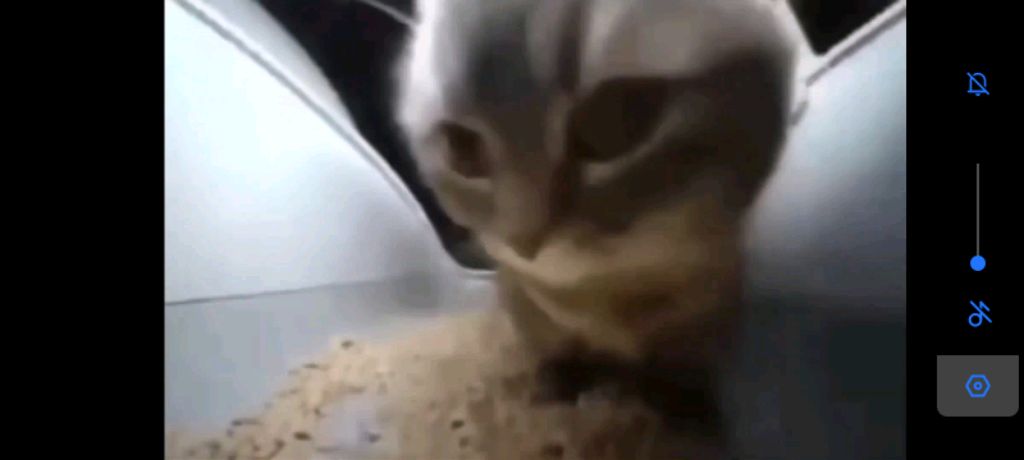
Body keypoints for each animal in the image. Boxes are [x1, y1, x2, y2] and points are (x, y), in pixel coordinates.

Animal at [394, 0, 795, 425]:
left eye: (614, 118)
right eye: (462, 149)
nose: (527, 239)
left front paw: (677, 403)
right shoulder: (528, 304)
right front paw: (564, 385)